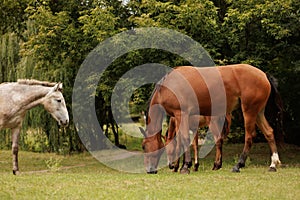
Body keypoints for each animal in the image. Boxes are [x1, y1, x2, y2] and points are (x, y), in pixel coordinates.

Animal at [141, 64, 282, 173]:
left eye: (143, 146)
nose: (149, 170)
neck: (169, 85)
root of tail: (263, 75)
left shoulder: (181, 114)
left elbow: (184, 139)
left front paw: (185, 166)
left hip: (249, 111)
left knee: (249, 137)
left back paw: (238, 165)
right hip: (258, 113)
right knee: (269, 132)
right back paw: (273, 165)